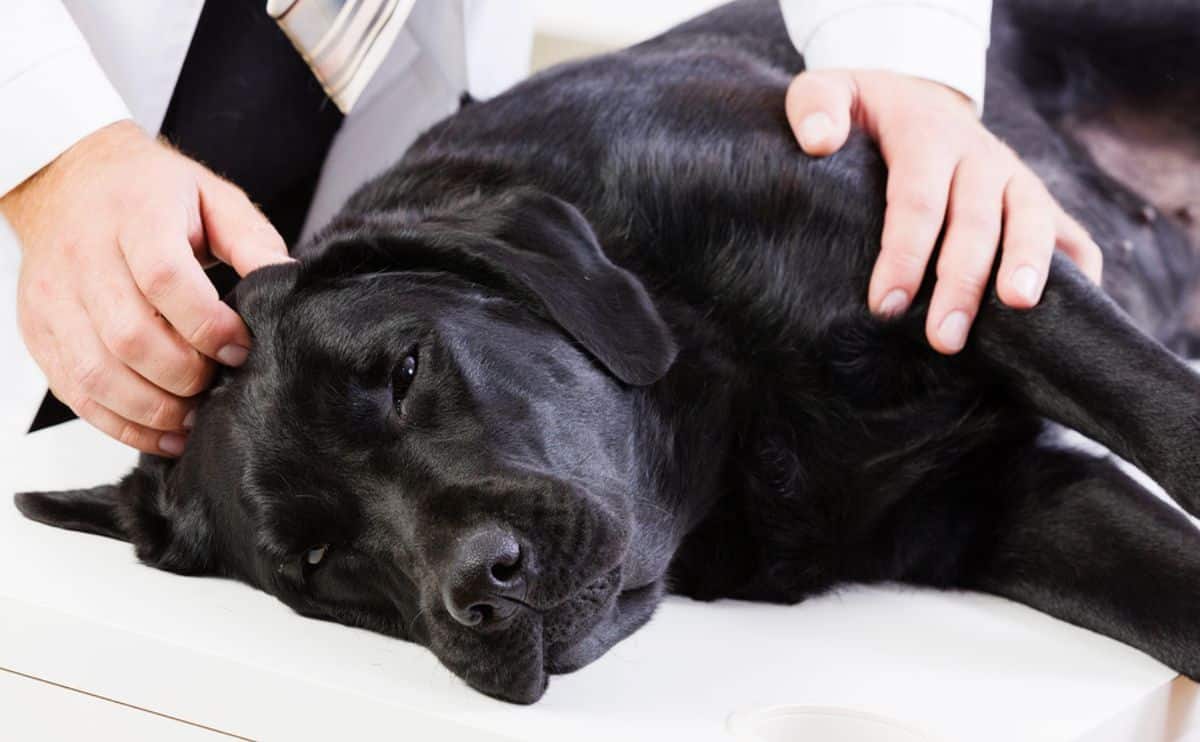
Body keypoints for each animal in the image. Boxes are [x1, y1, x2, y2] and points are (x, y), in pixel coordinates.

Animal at [16, 0, 1200, 701]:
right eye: (315, 560)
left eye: (405, 372)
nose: (481, 587)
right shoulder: (1006, 505)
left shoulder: (970, 256)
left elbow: (1165, 412)